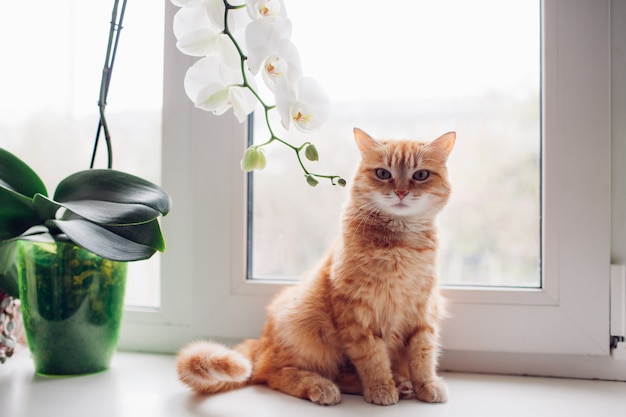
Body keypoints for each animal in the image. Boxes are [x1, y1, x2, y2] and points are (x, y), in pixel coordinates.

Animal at [176, 128, 454, 404]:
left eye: (420, 175)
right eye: (383, 173)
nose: (401, 192)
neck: (400, 246)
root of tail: (261, 340)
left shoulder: (424, 311)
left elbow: (423, 354)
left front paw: (426, 384)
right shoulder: (357, 316)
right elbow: (372, 358)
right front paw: (381, 387)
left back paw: (400, 383)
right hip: (305, 325)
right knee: (274, 373)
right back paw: (324, 386)